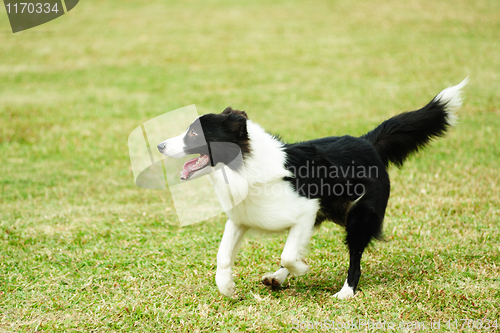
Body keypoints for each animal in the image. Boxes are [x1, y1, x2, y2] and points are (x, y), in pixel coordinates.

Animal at [158, 80, 466, 298]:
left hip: (359, 217)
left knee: (355, 257)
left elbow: (289, 254)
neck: (245, 166)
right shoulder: (241, 219)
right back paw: (277, 277)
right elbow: (223, 255)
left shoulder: (306, 210)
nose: (160, 145)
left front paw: (303, 269)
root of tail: (367, 142)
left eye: (194, 133)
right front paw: (227, 287)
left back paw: (345, 292)